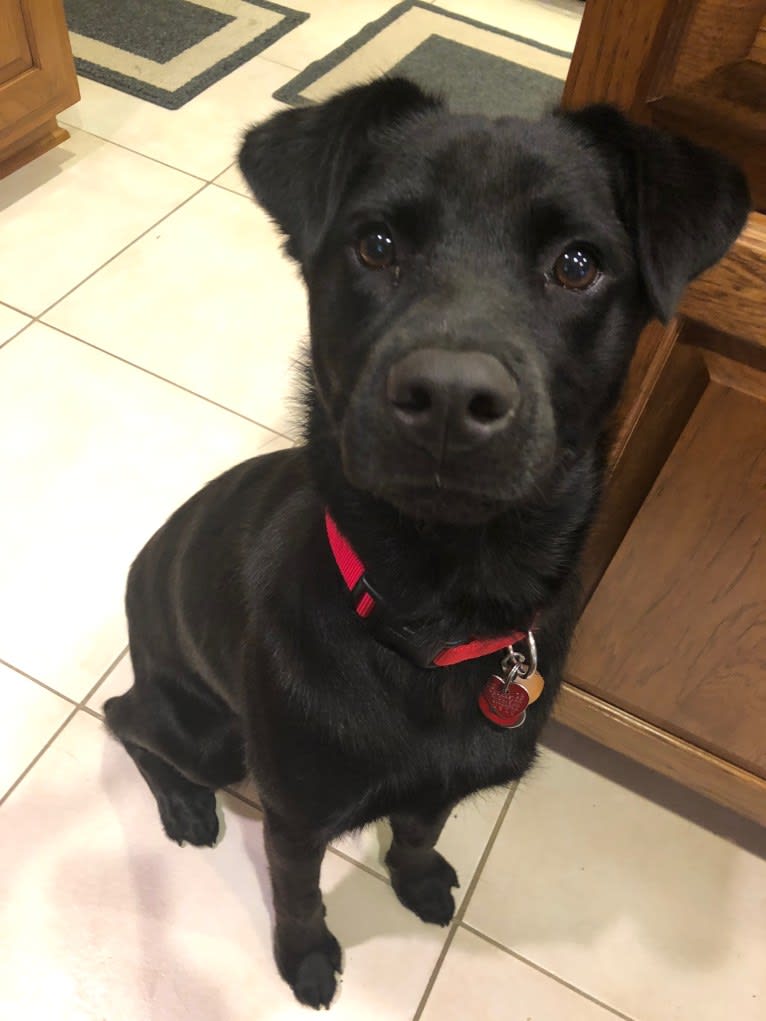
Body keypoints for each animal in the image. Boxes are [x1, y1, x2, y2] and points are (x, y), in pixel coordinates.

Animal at [105, 77, 751, 1004]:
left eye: (578, 264)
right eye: (376, 245)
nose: (449, 396)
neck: (440, 605)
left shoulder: (441, 783)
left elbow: (417, 829)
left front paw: (414, 880)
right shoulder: (295, 816)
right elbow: (299, 894)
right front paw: (306, 957)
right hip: (210, 730)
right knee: (125, 720)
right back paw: (185, 802)